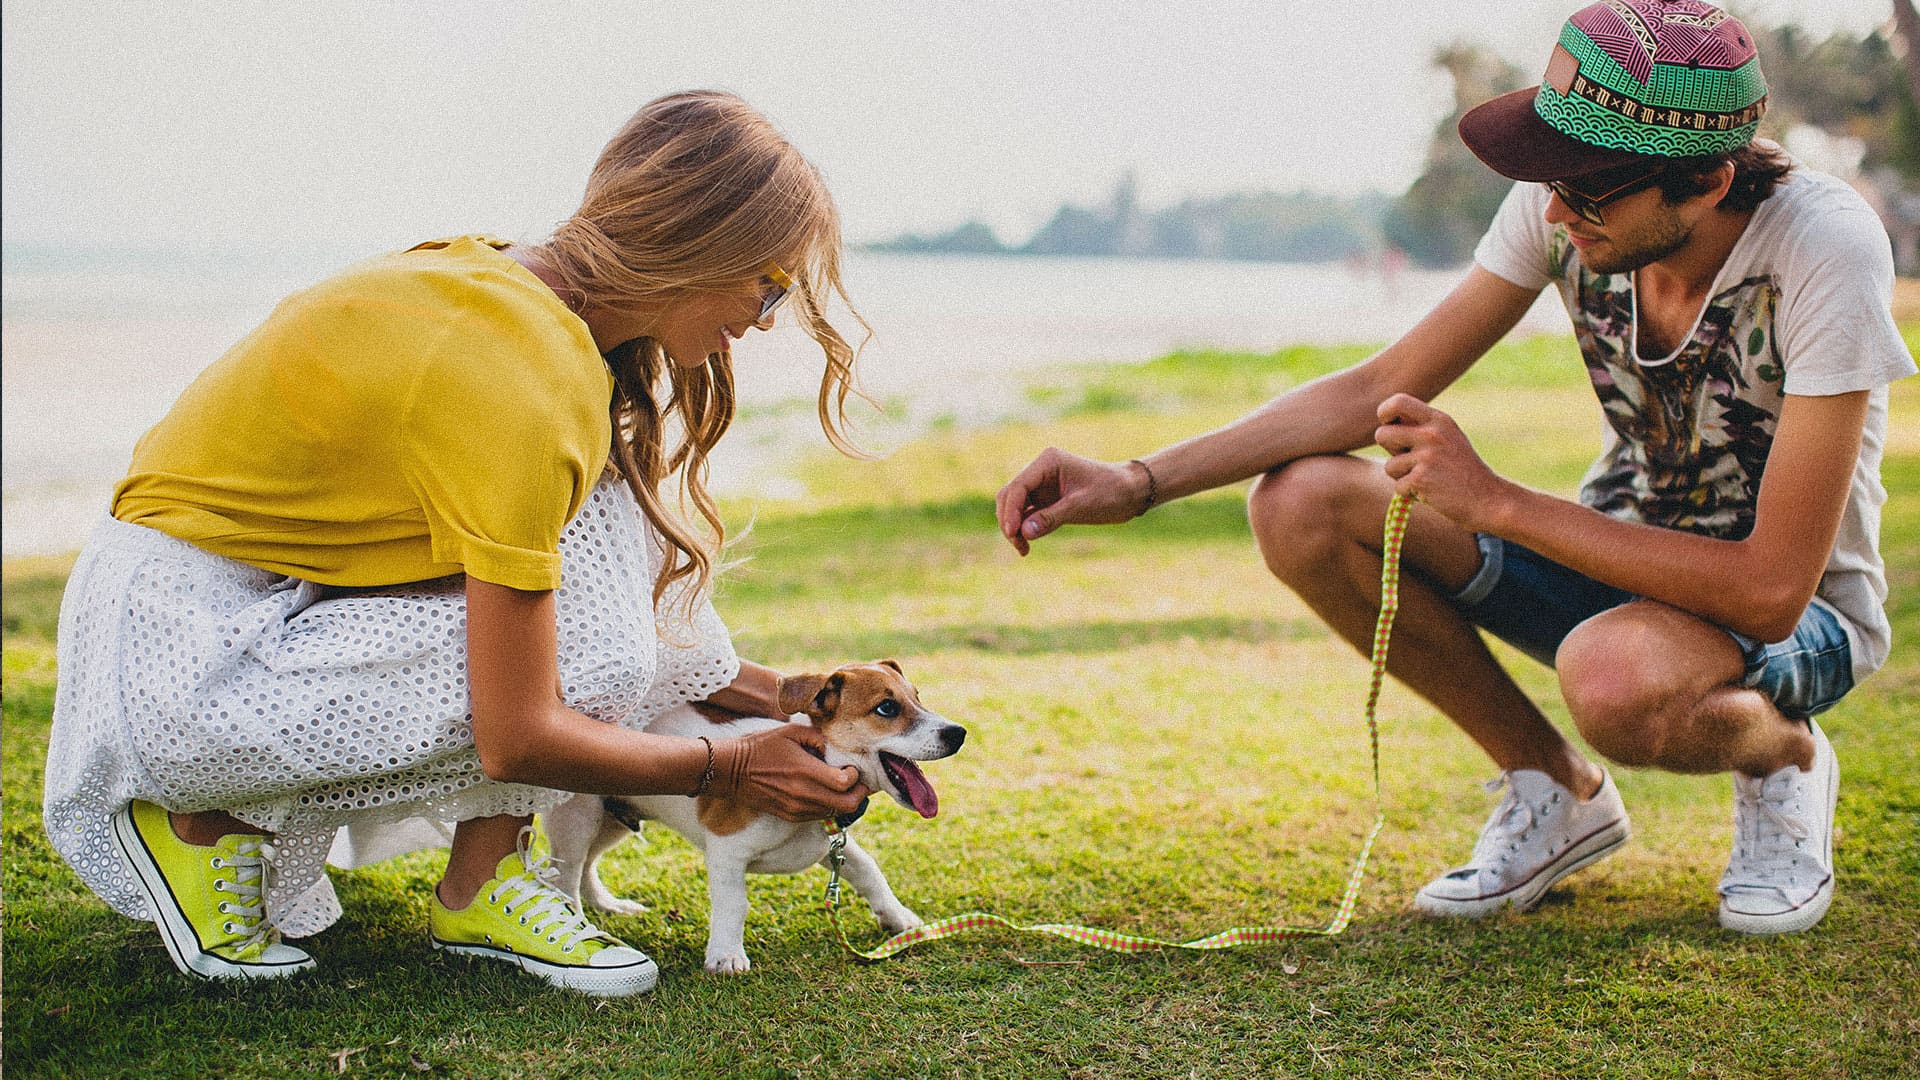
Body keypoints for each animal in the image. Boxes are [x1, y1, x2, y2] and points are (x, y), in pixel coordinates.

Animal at [545, 661, 967, 972]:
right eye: (887, 708)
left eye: (918, 698)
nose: (958, 733)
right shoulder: (726, 852)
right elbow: (735, 904)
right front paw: (726, 956)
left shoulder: (833, 845)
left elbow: (869, 871)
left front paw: (898, 918)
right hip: (578, 819)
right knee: (564, 875)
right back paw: (576, 923)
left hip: (612, 819)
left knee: (587, 867)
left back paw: (608, 905)